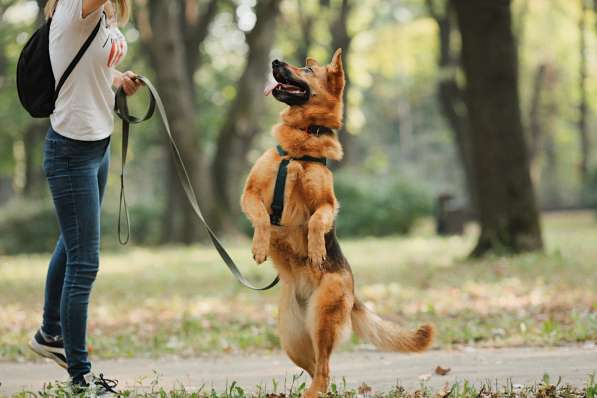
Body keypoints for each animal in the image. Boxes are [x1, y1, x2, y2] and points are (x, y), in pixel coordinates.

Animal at [242, 49, 434, 398]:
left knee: (325, 368)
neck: (301, 142)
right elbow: (262, 217)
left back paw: (313, 392)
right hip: (292, 339)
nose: (275, 61)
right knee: (318, 367)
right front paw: (260, 245)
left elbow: (317, 221)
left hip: (323, 320)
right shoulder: (249, 194)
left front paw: (317, 249)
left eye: (307, 70)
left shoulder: (329, 204)